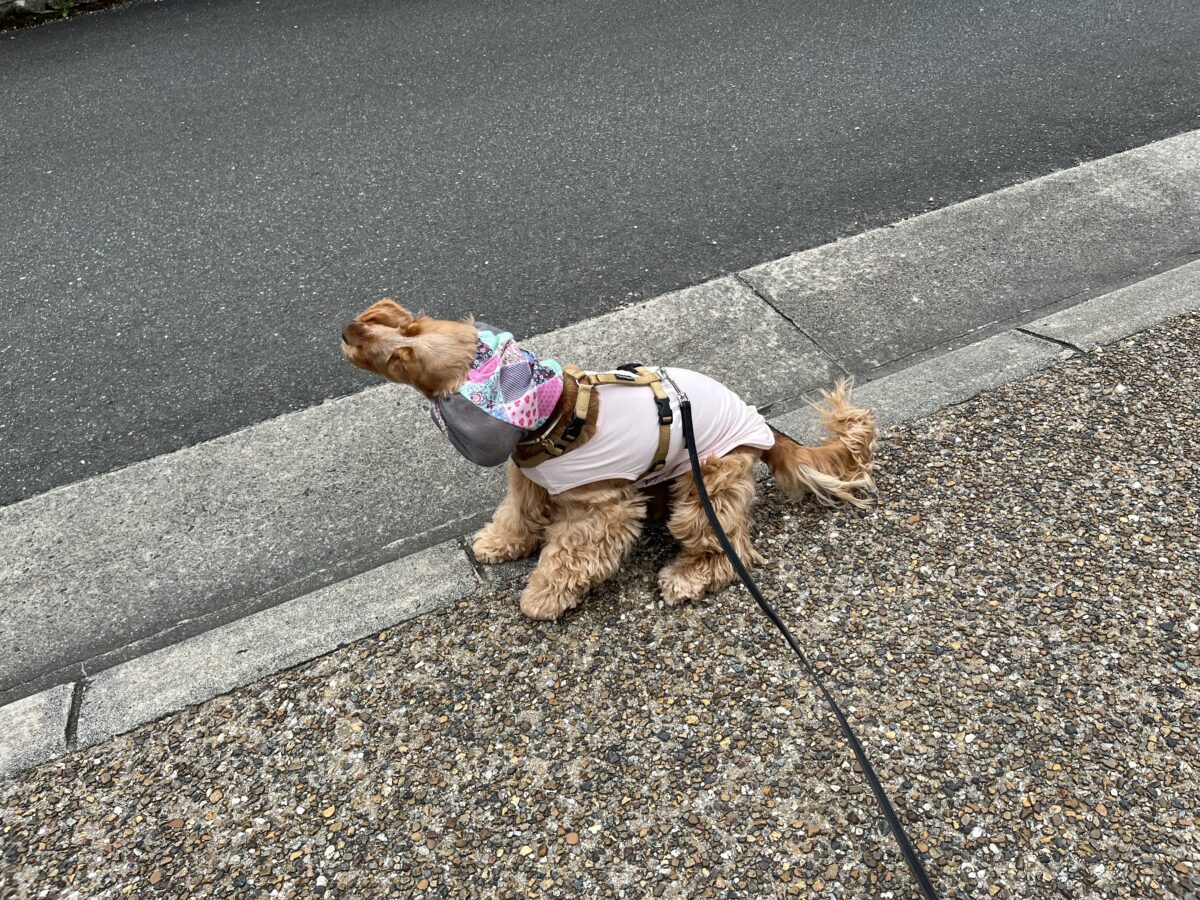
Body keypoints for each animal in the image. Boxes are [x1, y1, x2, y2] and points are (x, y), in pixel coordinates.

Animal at [343, 300, 878, 624]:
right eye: (402, 327)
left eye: (403, 357)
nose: (348, 330)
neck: (554, 415)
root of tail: (764, 429)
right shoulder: (529, 479)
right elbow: (517, 516)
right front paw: (499, 544)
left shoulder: (599, 510)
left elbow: (568, 557)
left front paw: (542, 598)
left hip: (707, 484)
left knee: (729, 550)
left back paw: (687, 576)